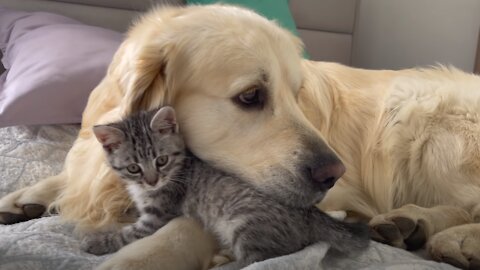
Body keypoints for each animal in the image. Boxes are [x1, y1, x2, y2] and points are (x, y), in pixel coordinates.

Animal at [81, 106, 368, 266]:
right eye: (133, 167)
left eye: (161, 160)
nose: (152, 180)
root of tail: (309, 213)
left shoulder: (159, 216)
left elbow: (128, 234)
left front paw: (96, 242)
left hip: (245, 223)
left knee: (259, 260)